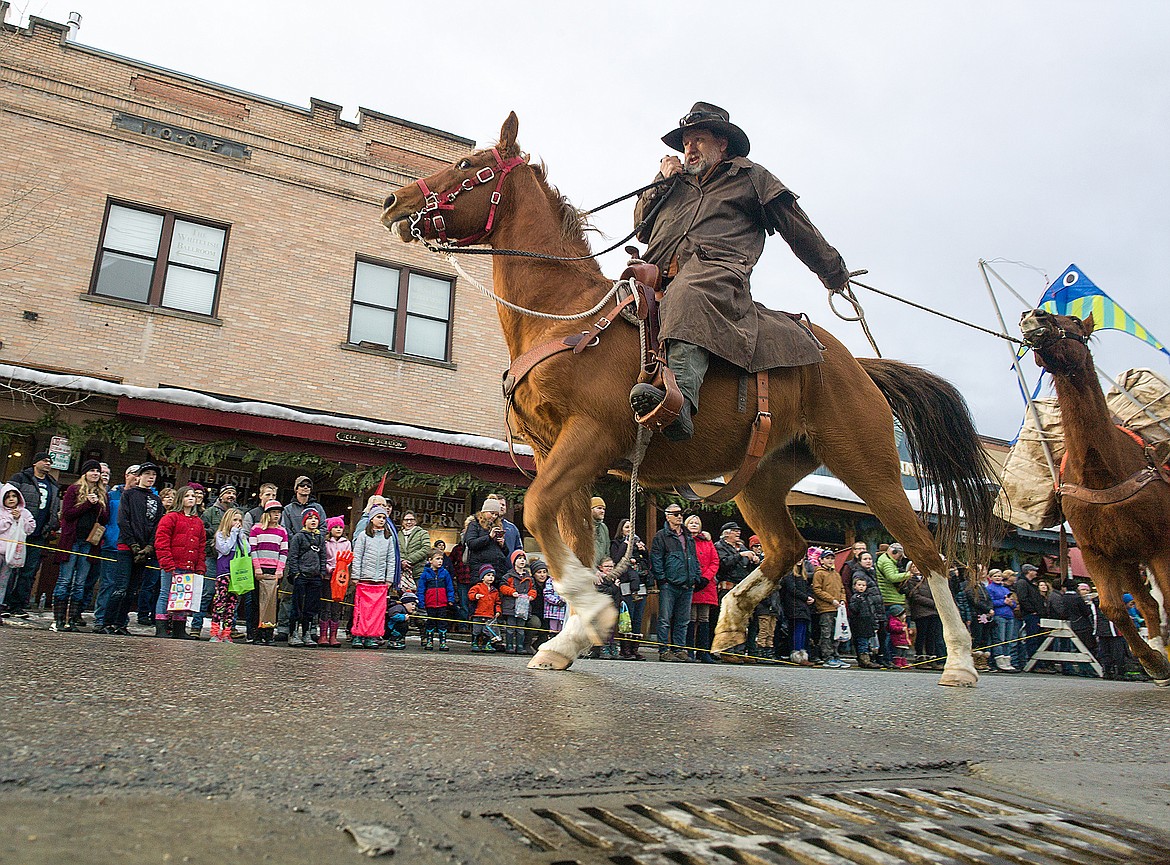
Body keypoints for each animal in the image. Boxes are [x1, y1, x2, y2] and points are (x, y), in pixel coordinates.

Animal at [381, 113, 996, 688]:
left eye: (468, 165)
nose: (393, 202)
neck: (566, 315)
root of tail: (857, 368)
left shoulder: (590, 436)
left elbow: (535, 510)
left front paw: (595, 616)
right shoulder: (557, 451)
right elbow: (569, 538)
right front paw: (572, 636)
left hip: (869, 467)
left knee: (927, 554)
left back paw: (961, 662)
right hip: (763, 481)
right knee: (788, 547)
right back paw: (730, 621)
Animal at [1020, 309, 1165, 688]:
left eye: (1072, 319)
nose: (1034, 315)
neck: (1103, 471)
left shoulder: (1161, 543)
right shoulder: (1096, 551)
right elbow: (1114, 608)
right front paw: (1154, 663)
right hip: (1128, 559)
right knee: (1148, 605)